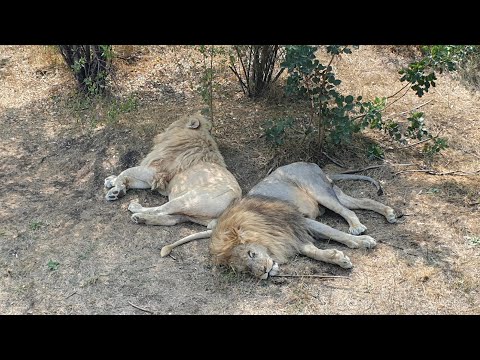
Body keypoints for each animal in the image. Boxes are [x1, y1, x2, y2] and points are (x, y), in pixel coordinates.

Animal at [103, 112, 242, 228]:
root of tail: (235, 204)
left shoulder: (156, 173)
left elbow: (126, 171)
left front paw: (118, 190)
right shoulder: (155, 179)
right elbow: (130, 177)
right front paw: (112, 183)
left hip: (187, 200)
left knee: (161, 209)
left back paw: (136, 208)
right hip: (188, 214)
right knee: (170, 219)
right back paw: (141, 219)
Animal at [159, 161, 396, 278]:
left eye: (252, 254)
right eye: (244, 271)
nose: (264, 273)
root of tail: (312, 163)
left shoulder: (299, 221)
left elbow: (336, 234)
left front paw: (362, 243)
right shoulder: (291, 236)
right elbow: (313, 251)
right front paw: (337, 258)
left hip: (319, 191)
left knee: (347, 212)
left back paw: (357, 228)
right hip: (333, 193)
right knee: (363, 202)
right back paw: (389, 213)